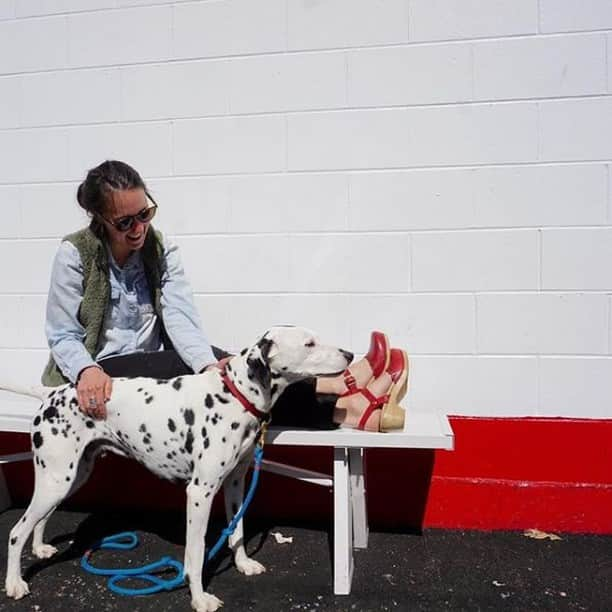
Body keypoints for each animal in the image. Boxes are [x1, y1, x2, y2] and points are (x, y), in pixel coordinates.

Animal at [3, 328, 354, 612]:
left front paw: (243, 564)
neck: (234, 395)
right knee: (16, 530)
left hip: (69, 477)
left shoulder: (235, 484)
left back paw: (40, 548)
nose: (350, 354)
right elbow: (196, 553)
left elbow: (237, 531)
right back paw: (15, 583)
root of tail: (53, 393)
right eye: (309, 343)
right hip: (57, 480)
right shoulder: (199, 493)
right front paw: (199, 598)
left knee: (38, 518)